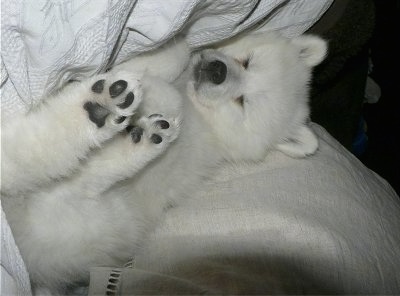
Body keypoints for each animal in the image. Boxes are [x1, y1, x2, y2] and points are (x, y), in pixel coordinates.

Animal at [0, 31, 326, 292]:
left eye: (242, 102)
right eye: (247, 61)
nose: (217, 70)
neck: (209, 122)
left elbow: (169, 97)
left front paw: (152, 90)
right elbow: (175, 59)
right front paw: (171, 50)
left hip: (101, 217)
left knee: (42, 161)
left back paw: (116, 121)